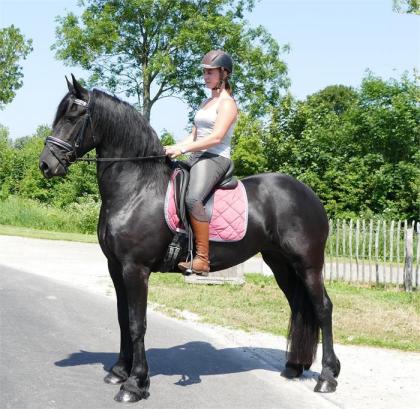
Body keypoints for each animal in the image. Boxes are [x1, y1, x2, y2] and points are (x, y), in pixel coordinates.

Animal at [39, 75, 340, 402]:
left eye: (73, 116)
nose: (46, 164)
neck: (137, 189)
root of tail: (308, 194)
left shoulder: (135, 269)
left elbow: (136, 323)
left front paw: (135, 384)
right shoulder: (116, 267)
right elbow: (122, 318)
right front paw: (119, 370)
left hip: (308, 264)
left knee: (323, 308)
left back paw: (327, 377)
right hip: (280, 264)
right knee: (299, 308)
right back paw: (294, 367)